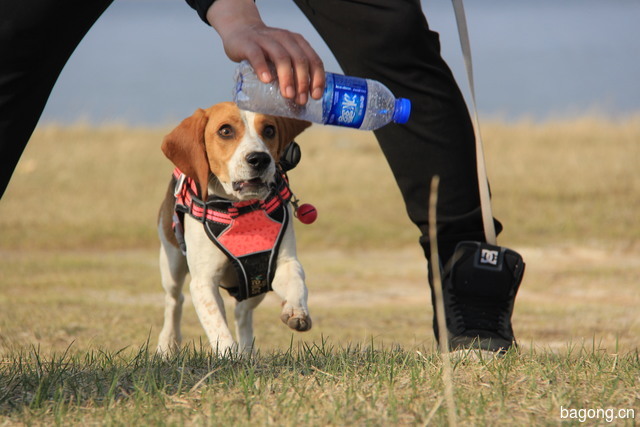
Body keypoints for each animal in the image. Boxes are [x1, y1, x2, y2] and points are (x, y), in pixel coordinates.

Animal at [158, 102, 312, 356]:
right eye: (225, 131)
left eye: (269, 130)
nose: (259, 159)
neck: (240, 209)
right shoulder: (203, 282)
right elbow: (218, 329)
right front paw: (229, 356)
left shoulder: (280, 263)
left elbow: (296, 282)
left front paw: (295, 310)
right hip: (172, 263)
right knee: (174, 300)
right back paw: (167, 344)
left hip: (256, 284)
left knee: (243, 312)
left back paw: (247, 351)